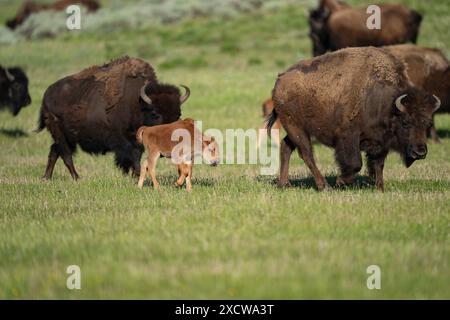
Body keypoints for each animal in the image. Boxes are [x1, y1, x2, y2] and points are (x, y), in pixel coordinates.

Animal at [35, 55, 190, 180]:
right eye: (155, 114)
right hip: (61, 134)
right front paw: (136, 174)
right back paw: (76, 178)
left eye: (178, 114)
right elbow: (133, 155)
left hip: (67, 137)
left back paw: (46, 177)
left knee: (54, 151)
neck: (138, 103)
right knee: (65, 154)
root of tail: (47, 95)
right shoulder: (126, 140)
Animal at [268, 46, 442, 191]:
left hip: (296, 130)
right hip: (296, 127)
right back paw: (324, 186)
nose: (420, 152)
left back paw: (285, 184)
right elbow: (356, 163)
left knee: (286, 147)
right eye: (406, 123)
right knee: (306, 154)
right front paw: (341, 181)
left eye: (428, 124)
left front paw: (380, 188)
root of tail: (280, 79)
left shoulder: (380, 142)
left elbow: (378, 164)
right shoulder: (348, 137)